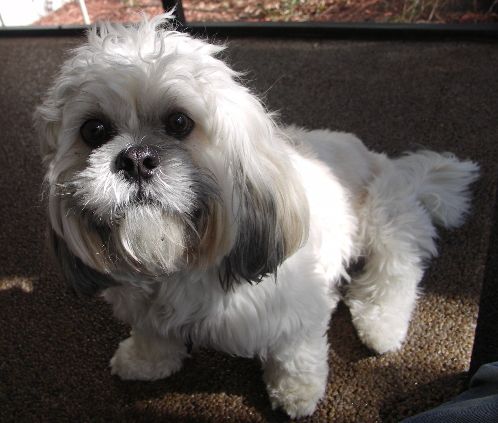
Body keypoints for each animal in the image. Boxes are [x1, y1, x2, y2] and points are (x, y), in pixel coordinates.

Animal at [36, 13, 478, 420]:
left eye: (179, 122)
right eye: (94, 130)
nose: (135, 159)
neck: (184, 260)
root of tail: (393, 165)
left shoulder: (297, 312)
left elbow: (295, 355)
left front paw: (297, 394)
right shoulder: (146, 307)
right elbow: (152, 333)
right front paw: (144, 360)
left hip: (383, 217)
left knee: (396, 273)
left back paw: (381, 327)